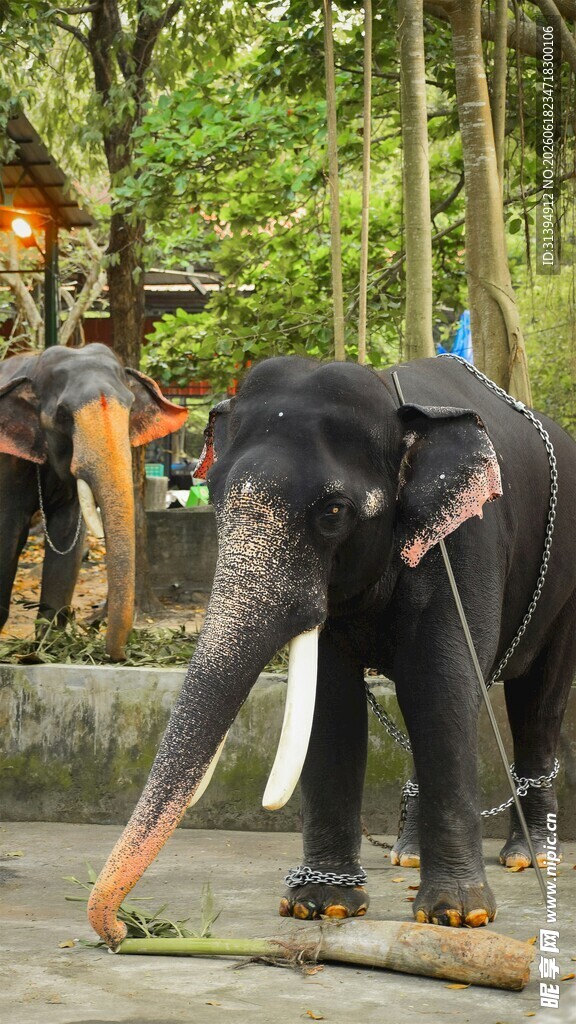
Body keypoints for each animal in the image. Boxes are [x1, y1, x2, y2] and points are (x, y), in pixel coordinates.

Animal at [0, 343, 187, 660]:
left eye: (130, 407)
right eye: (63, 414)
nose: (119, 655)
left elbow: (67, 540)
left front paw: (48, 649)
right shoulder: (6, 463)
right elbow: (8, 533)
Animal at [87, 355, 576, 946]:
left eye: (335, 511)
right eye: (217, 497)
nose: (120, 931)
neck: (397, 405)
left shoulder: (466, 542)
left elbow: (442, 688)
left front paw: (458, 915)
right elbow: (332, 703)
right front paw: (320, 905)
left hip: (565, 589)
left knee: (538, 700)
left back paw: (531, 858)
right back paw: (408, 856)